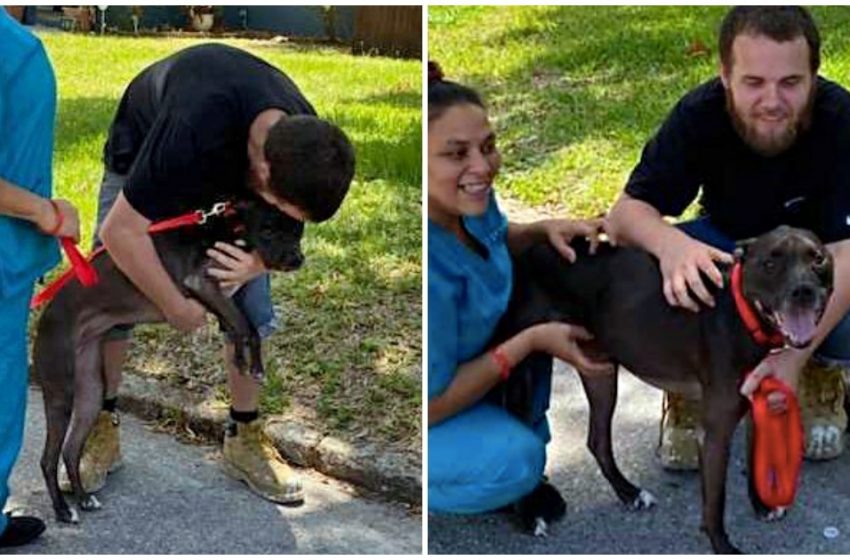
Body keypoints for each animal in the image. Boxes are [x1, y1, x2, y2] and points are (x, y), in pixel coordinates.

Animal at [34, 198, 304, 524]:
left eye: (298, 231)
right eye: (268, 230)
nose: (297, 259)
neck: (231, 228)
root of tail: (44, 318)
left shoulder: (223, 291)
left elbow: (241, 326)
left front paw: (245, 360)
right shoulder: (202, 283)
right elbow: (245, 326)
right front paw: (254, 365)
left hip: (90, 391)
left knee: (71, 450)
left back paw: (84, 498)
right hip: (61, 392)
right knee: (49, 458)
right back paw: (62, 509)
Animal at [494, 225, 832, 552]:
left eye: (818, 259)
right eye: (771, 263)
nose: (803, 291)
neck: (743, 314)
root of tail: (529, 251)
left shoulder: (754, 402)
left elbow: (754, 459)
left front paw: (762, 506)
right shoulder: (715, 430)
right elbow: (715, 500)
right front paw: (723, 546)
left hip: (599, 370)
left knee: (597, 440)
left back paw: (629, 493)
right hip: (526, 366)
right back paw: (530, 516)